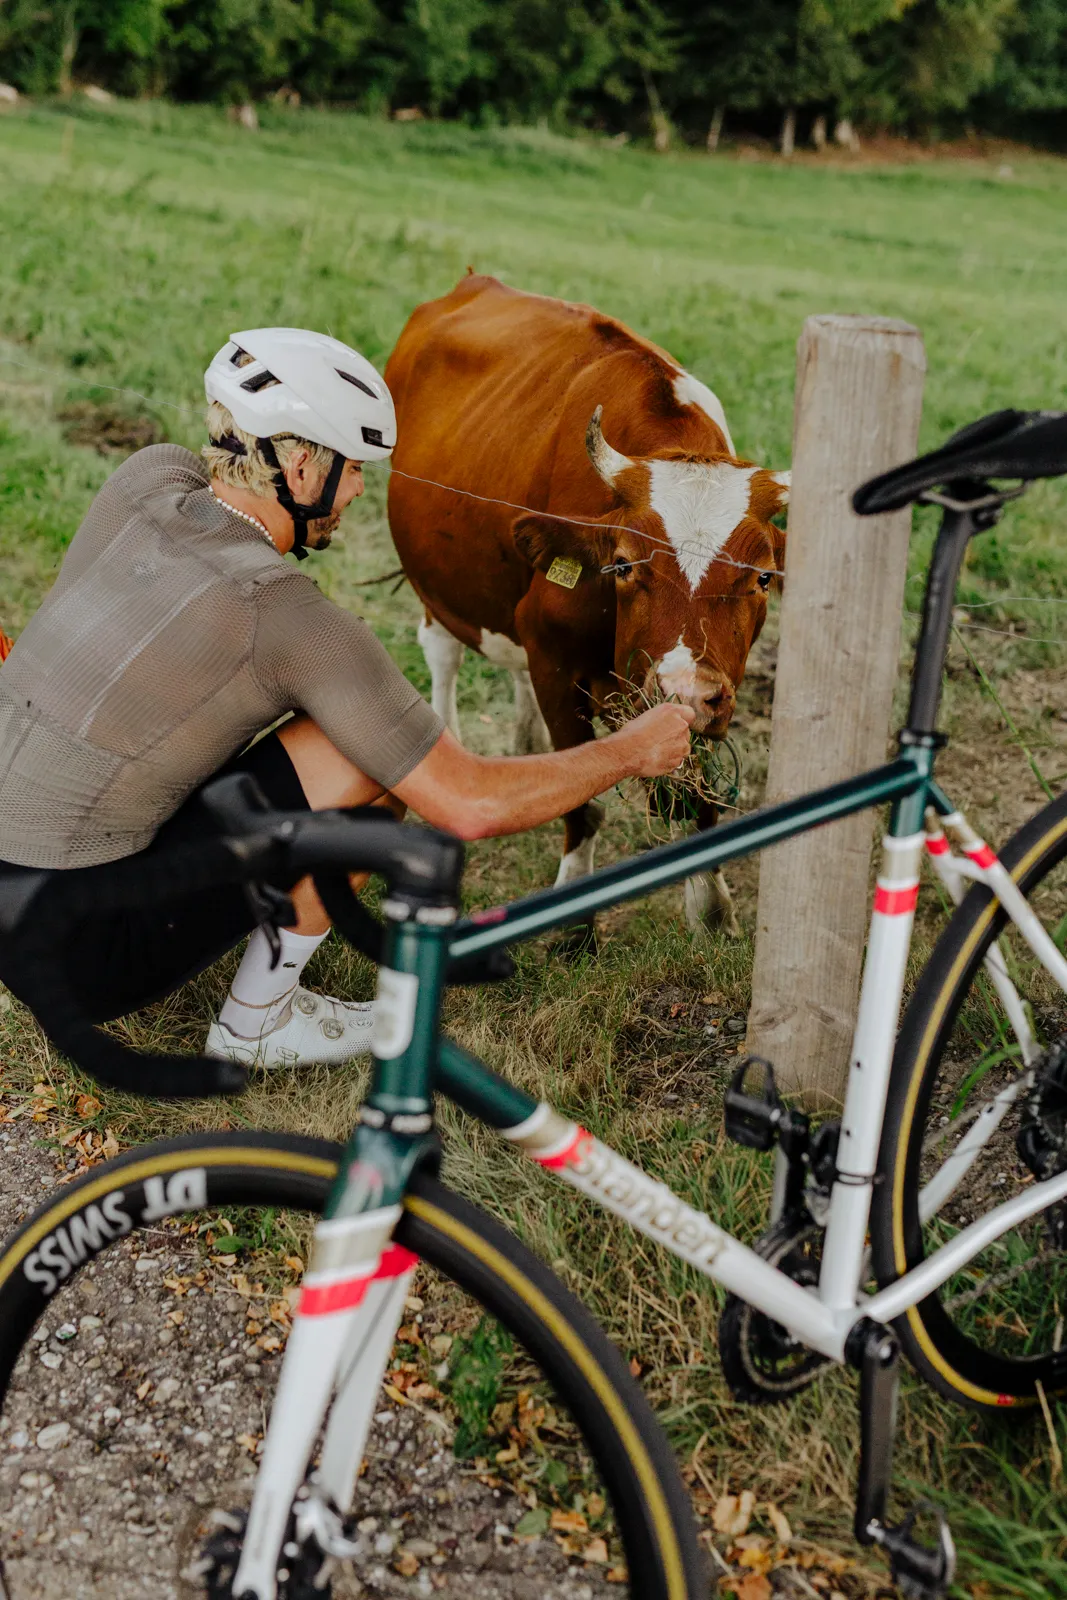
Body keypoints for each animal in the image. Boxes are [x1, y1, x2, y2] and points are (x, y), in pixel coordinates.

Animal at [388, 272, 790, 928]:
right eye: (623, 564)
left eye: (760, 578)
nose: (682, 692)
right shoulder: (555, 664)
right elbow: (585, 804)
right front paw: (574, 917)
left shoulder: (713, 694)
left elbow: (697, 798)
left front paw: (711, 908)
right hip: (433, 579)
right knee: (442, 652)